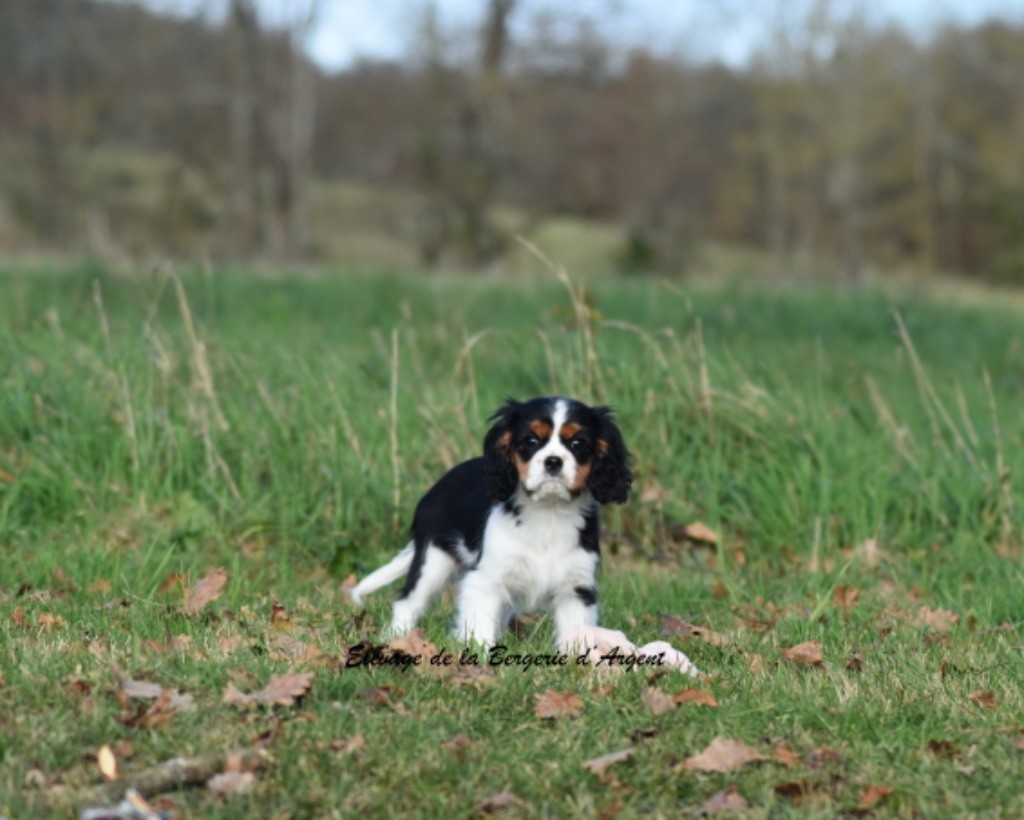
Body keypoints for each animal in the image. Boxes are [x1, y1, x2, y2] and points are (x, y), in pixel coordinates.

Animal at [352, 397, 630, 646]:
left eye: (578, 443)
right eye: (530, 441)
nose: (553, 461)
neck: (547, 512)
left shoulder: (577, 588)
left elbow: (577, 630)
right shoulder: (485, 581)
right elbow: (480, 628)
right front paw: (481, 656)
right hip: (433, 561)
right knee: (409, 601)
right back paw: (394, 637)